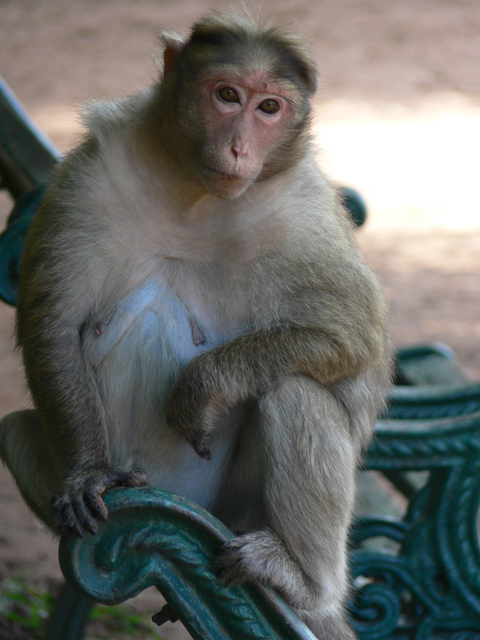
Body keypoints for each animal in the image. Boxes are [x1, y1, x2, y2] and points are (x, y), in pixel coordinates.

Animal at [0, 12, 391, 640]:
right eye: (227, 96)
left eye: (270, 107)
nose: (238, 147)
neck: (193, 196)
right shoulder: (88, 178)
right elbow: (54, 326)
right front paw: (87, 474)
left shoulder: (300, 212)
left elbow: (352, 337)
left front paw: (204, 385)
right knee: (14, 430)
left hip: (235, 511)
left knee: (293, 391)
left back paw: (305, 586)